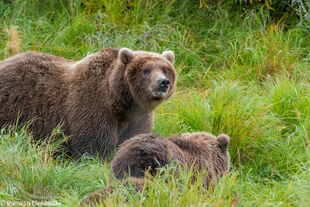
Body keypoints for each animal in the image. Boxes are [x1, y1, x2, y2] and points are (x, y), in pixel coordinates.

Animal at [0, 48, 176, 158]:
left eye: (165, 69)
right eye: (146, 70)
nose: (163, 82)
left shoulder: (137, 118)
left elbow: (134, 137)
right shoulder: (93, 105)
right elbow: (93, 144)